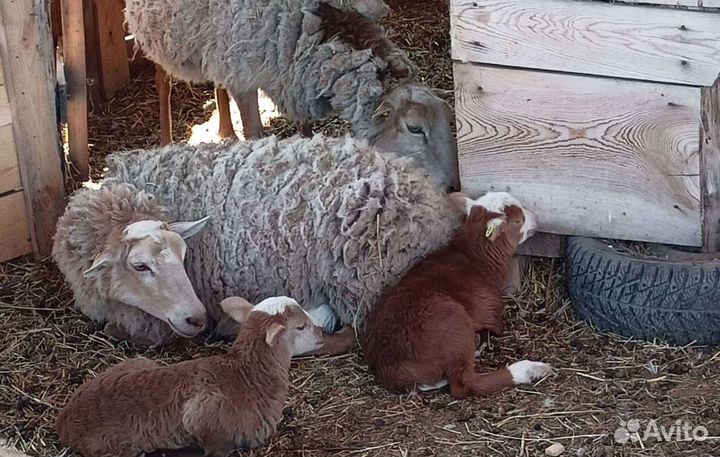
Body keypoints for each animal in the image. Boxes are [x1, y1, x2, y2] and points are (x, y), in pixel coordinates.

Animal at [56, 296, 356, 457]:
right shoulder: (204, 417)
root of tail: (65, 421)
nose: (323, 330)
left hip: (137, 362)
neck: (247, 374)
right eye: (301, 327)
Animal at [125, 0, 459, 191]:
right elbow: (255, 135)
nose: (456, 187)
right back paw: (167, 140)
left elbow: (305, 127)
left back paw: (226, 131)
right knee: (163, 80)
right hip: (162, 36)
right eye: (415, 128)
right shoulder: (245, 77)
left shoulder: (293, 73)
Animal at [362, 192, 553, 398]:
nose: (536, 218)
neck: (474, 257)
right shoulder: (492, 313)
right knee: (465, 385)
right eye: (518, 221)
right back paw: (529, 369)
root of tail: (392, 370)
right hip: (456, 327)